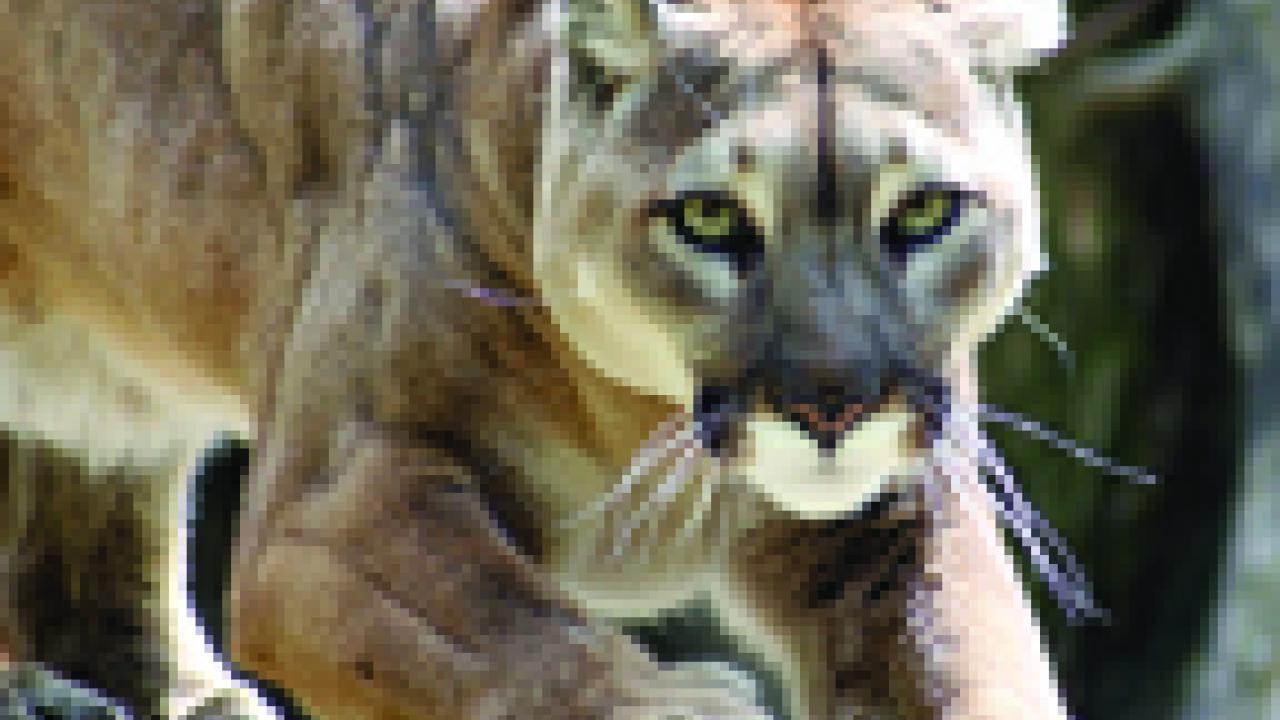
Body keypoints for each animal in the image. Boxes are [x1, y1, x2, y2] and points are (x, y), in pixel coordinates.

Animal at [0, 1, 1073, 718]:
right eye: (710, 218)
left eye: (924, 211)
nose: (832, 407)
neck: (637, 406)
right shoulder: (336, 502)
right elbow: (520, 637)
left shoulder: (893, 520)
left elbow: (966, 667)